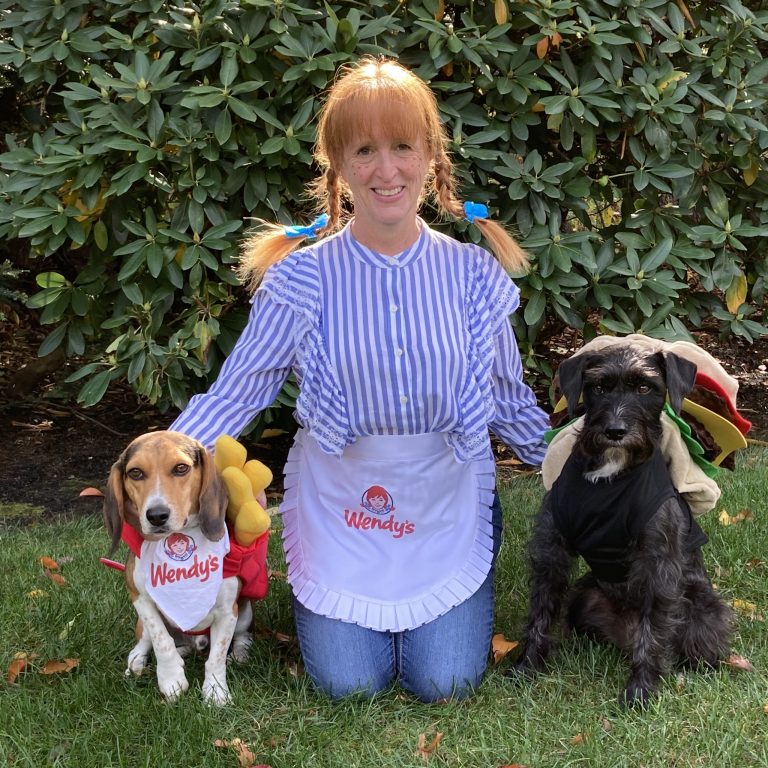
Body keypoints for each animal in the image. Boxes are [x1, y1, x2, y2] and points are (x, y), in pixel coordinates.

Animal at [510, 348, 732, 708]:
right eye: (598, 387)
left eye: (645, 388)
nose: (615, 430)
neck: (611, 471)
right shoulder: (551, 548)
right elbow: (540, 611)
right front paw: (527, 666)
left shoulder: (658, 564)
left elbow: (653, 633)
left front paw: (640, 690)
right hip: (585, 598)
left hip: (701, 612)